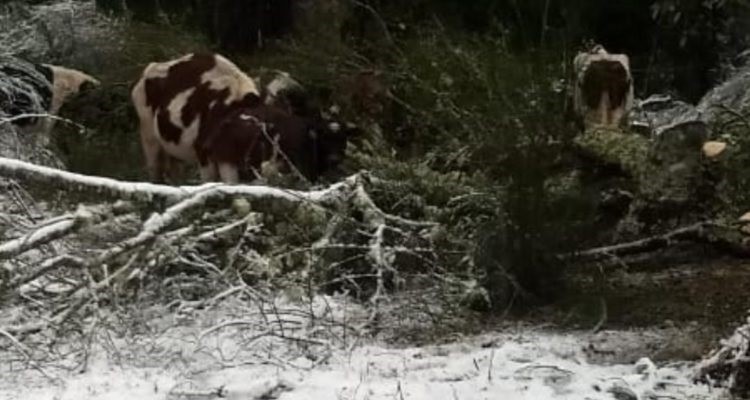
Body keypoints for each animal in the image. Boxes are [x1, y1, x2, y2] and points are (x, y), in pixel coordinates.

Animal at [131, 52, 356, 184]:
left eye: (344, 138)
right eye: (319, 136)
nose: (335, 160)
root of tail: (153, 67)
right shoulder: (210, 160)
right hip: (149, 137)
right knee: (155, 172)